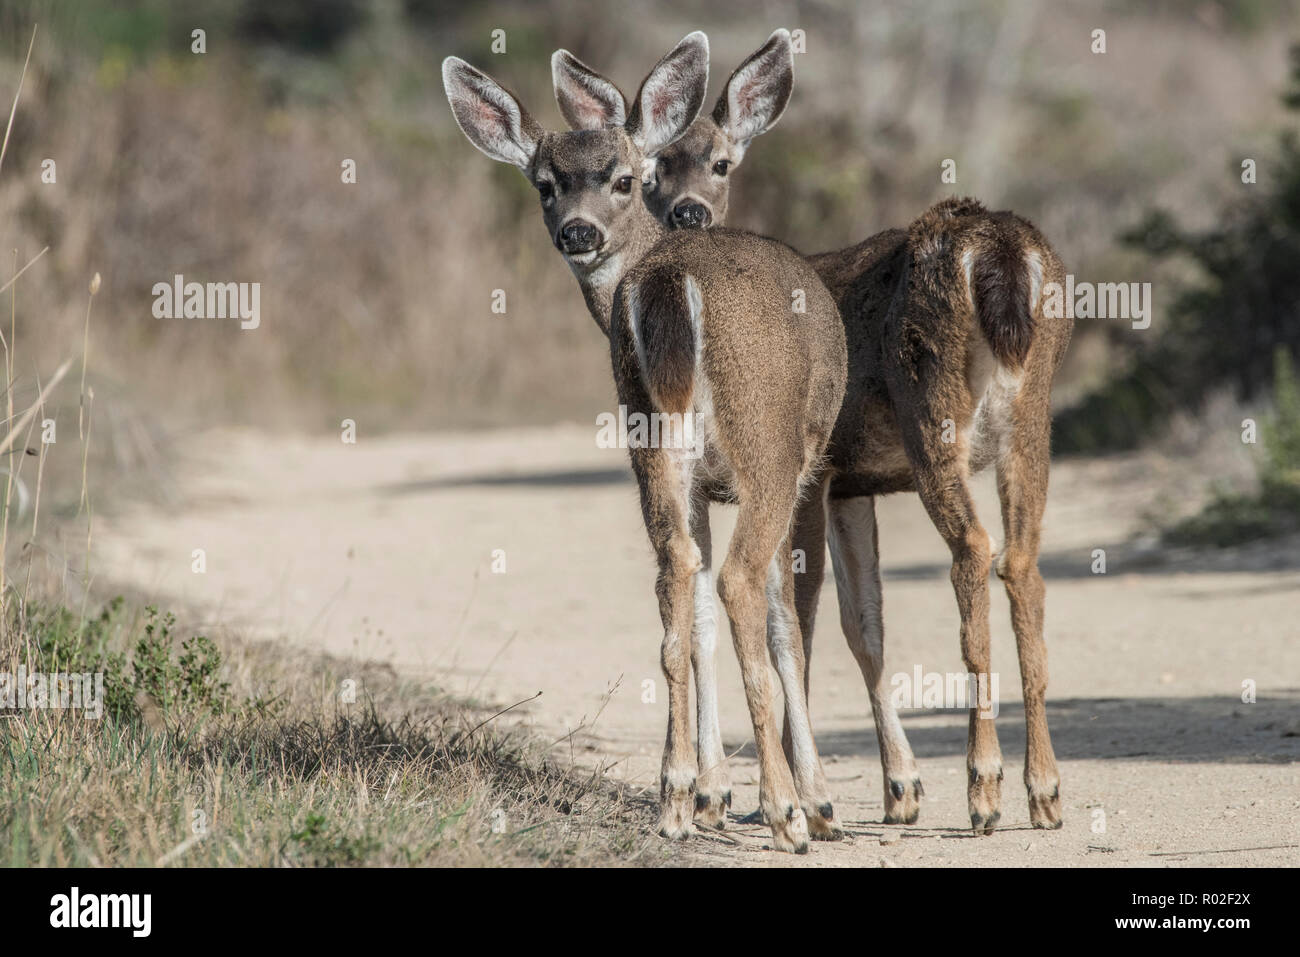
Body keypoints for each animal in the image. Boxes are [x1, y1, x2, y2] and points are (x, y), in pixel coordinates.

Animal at [444, 31, 852, 852]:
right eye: (545, 184)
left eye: (621, 179)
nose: (578, 230)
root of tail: (670, 284)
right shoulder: (804, 470)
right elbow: (786, 624)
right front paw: (814, 800)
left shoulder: (697, 480)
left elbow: (697, 621)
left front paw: (707, 794)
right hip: (764, 441)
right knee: (736, 582)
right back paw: (786, 813)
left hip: (651, 440)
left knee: (676, 578)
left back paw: (673, 800)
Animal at [613, 29, 1071, 832]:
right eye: (655, 170)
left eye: (721, 161)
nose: (689, 213)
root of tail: (999, 251)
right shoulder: (854, 487)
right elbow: (866, 623)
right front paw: (897, 788)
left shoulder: (819, 474)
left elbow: (802, 620)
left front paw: (808, 793)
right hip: (1030, 415)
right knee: (1020, 561)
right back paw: (1041, 791)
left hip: (930, 410)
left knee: (973, 550)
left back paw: (983, 788)